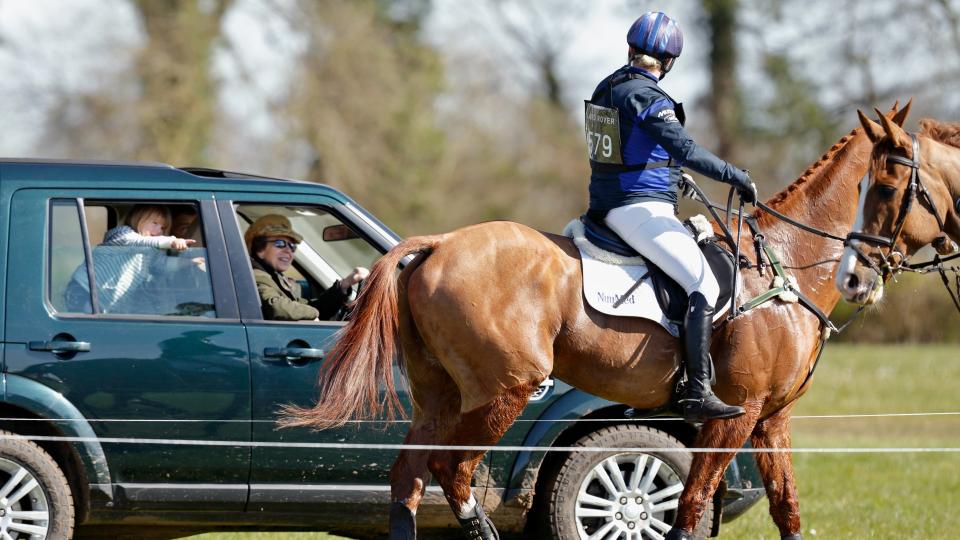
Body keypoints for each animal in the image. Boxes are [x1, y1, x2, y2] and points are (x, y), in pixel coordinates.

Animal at [284, 103, 908, 536]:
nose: (864, 279)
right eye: (889, 186)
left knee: (409, 479)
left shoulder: (770, 418)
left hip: (437, 395)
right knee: (452, 472)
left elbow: (786, 508)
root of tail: (438, 244)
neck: (783, 265)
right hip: (504, 390)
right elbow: (691, 502)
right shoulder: (738, 414)